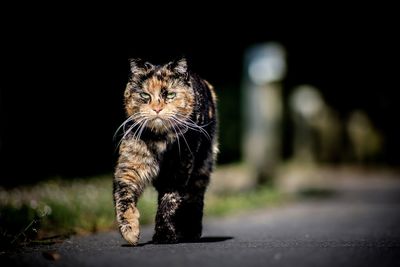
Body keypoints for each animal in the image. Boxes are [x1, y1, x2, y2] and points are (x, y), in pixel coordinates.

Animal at [112, 57, 219, 246]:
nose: (157, 108)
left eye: (170, 95)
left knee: (195, 198)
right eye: (145, 95)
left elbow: (169, 203)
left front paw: (164, 235)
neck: (160, 140)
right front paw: (130, 232)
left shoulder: (178, 172)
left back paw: (191, 232)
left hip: (201, 169)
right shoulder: (129, 168)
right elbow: (123, 200)